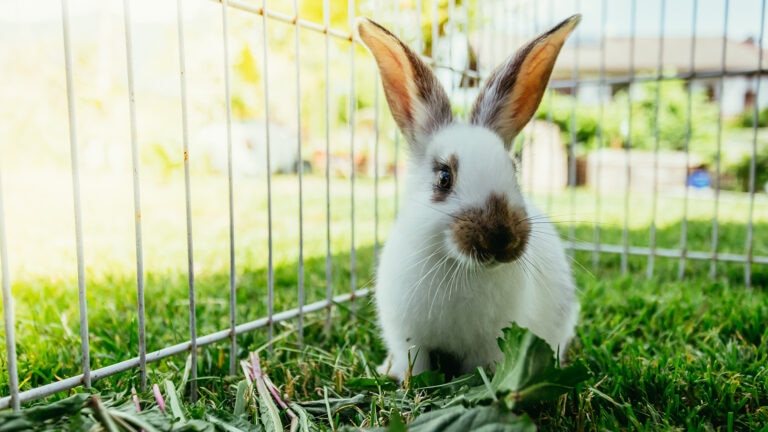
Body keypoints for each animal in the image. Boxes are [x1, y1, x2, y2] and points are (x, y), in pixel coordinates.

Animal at [356, 14, 582, 381]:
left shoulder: (489, 345)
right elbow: (415, 365)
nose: (501, 238)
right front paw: (406, 380)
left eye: (514, 169)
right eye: (444, 177)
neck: (459, 267)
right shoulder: (409, 338)